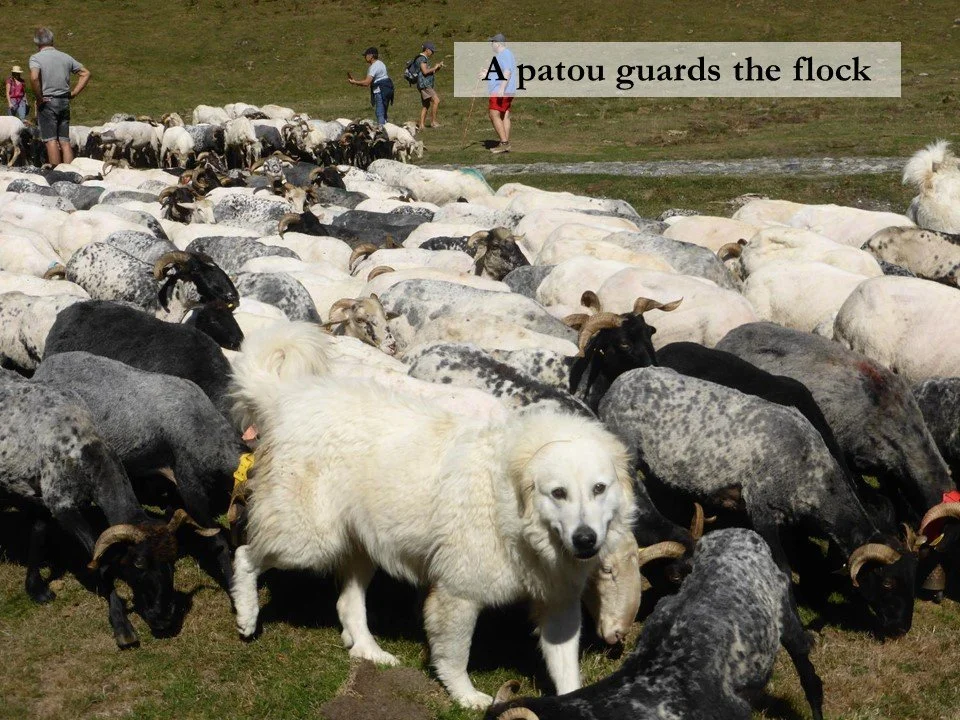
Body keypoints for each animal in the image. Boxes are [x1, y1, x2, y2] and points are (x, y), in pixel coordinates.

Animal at [0, 371, 217, 647]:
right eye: (138, 563)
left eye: (173, 561)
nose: (165, 618)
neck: (80, 445)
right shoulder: (62, 504)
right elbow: (100, 561)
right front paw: (121, 624)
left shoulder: (46, 496)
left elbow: (38, 532)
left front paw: (35, 588)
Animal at [599, 366, 918, 637]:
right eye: (887, 582)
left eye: (911, 579)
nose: (902, 628)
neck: (811, 469)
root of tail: (617, 384)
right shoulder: (761, 509)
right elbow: (783, 572)